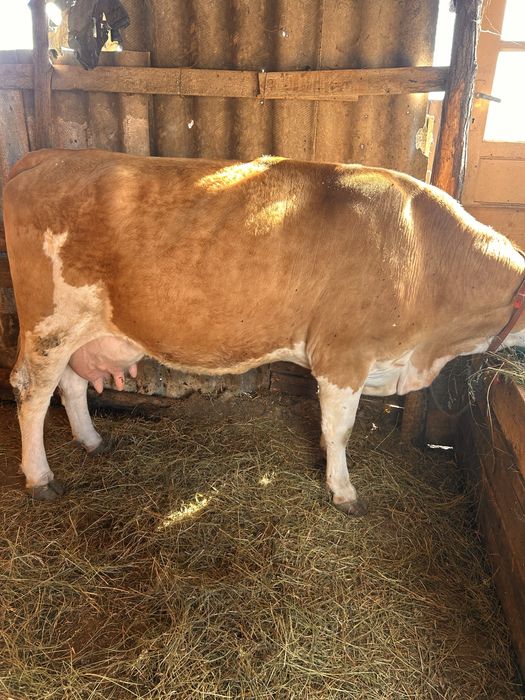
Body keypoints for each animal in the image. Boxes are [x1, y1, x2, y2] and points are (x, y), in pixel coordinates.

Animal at [4, 149, 525, 514]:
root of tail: (46, 157)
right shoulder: (344, 354)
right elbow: (341, 428)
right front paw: (343, 490)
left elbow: (330, 426)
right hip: (50, 322)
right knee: (32, 391)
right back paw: (40, 478)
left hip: (82, 329)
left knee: (70, 384)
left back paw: (91, 440)